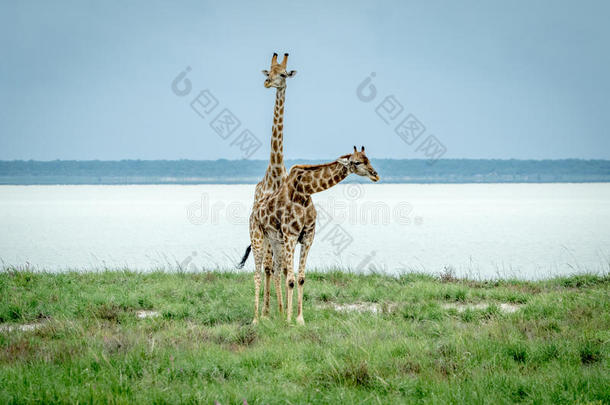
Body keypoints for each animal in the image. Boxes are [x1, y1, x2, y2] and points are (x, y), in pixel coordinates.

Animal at [243, 145, 380, 322]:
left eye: (368, 159)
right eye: (357, 162)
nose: (375, 174)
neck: (304, 191)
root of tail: (254, 212)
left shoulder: (308, 237)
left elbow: (300, 278)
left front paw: (299, 319)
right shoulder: (291, 236)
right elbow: (291, 280)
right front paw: (289, 320)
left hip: (275, 241)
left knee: (275, 271)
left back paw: (279, 313)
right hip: (257, 237)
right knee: (258, 274)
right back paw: (256, 319)